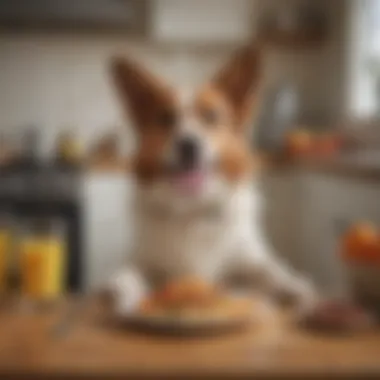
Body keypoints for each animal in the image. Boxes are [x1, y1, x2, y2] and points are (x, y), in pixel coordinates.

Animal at [105, 46, 316, 314]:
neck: (193, 208)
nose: (188, 145)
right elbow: (131, 271)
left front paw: (293, 286)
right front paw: (121, 289)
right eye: (166, 119)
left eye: (211, 116)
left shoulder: (246, 258)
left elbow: (269, 269)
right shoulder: (147, 260)